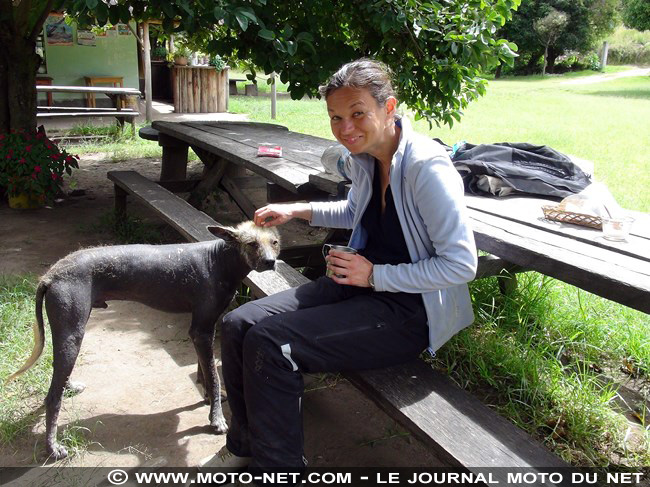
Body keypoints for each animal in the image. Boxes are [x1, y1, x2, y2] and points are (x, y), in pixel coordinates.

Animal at [5, 222, 278, 462]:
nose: (270, 262)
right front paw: (216, 419)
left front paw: (209, 398)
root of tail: (50, 275)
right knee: (52, 398)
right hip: (73, 334)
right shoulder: (201, 331)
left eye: (274, 242)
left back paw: (68, 387)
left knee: (57, 373)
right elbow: (213, 375)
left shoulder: (203, 331)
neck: (219, 260)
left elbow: (204, 369)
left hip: (67, 335)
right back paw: (53, 448)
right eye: (251, 244)